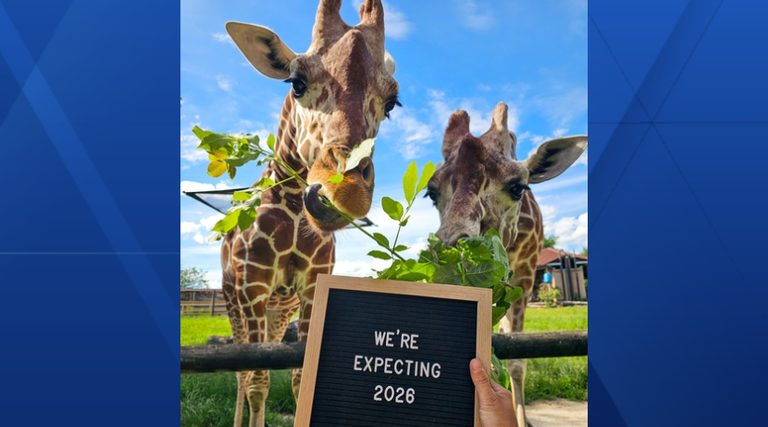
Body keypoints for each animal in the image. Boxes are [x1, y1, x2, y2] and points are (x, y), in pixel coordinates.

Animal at [220, 1, 399, 426]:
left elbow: (300, 380)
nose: (344, 190)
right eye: (296, 83)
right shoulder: (252, 288)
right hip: (234, 302)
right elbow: (257, 379)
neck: (292, 212)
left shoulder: (312, 288)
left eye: (392, 103)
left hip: (277, 310)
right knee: (240, 374)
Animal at [426, 102, 587, 427]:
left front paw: (519, 417)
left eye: (517, 187)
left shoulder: (524, 277)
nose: (451, 255)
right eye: (431, 193)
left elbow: (516, 362)